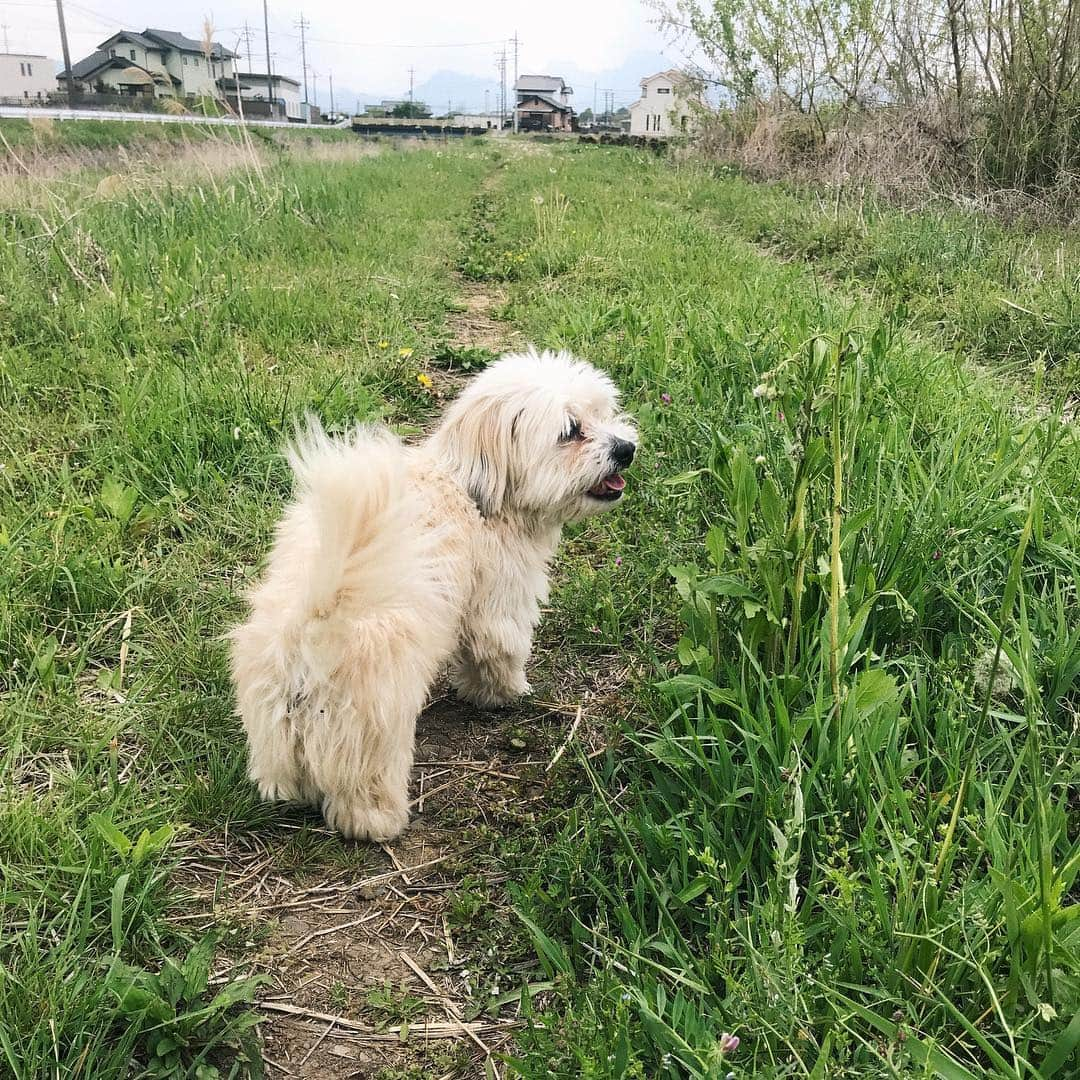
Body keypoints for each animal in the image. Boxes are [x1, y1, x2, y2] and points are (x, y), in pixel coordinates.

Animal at [227, 349, 630, 838]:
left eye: (603, 412)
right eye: (572, 430)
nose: (625, 449)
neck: (470, 487)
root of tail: (316, 622)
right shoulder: (498, 602)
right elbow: (500, 649)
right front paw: (505, 693)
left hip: (274, 722)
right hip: (373, 727)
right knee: (364, 793)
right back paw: (381, 822)